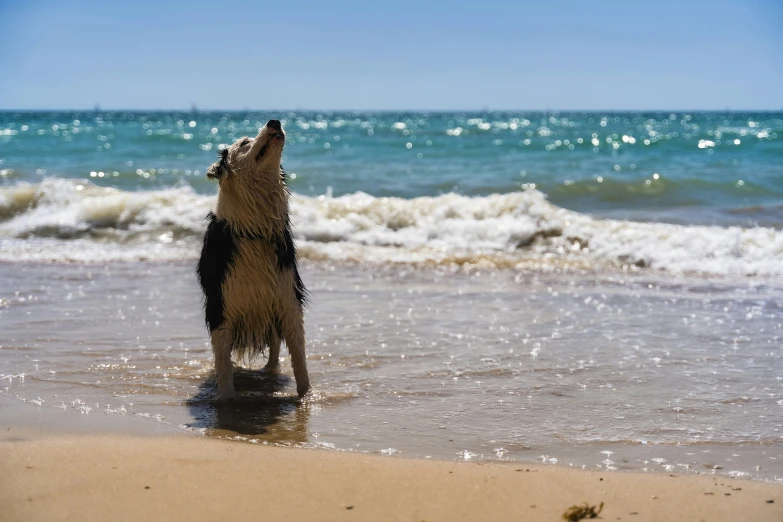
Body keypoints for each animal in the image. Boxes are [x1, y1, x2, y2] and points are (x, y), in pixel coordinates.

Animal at [196, 120, 310, 396]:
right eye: (244, 143)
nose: (274, 121)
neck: (254, 229)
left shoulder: (287, 298)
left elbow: (299, 359)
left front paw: (308, 396)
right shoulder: (220, 304)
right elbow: (224, 365)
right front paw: (226, 399)